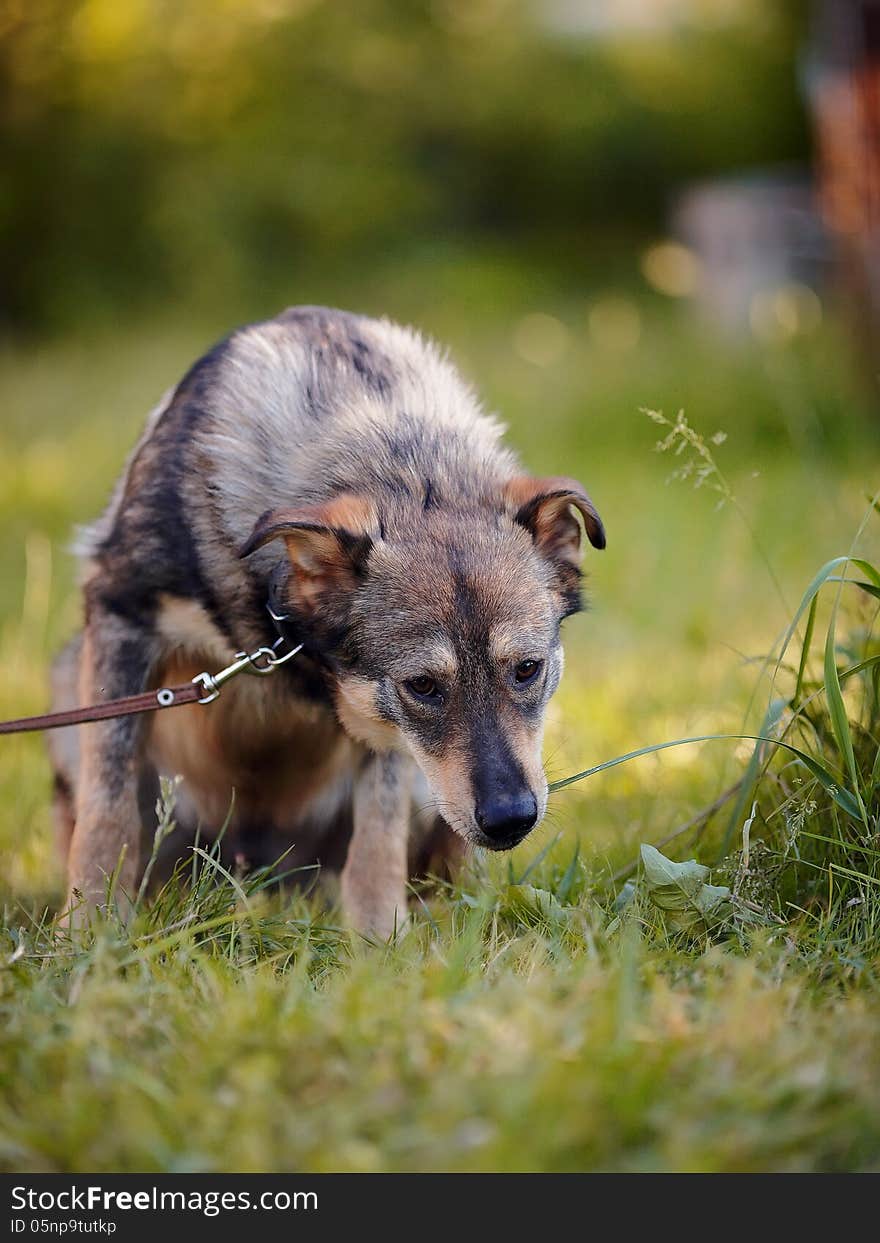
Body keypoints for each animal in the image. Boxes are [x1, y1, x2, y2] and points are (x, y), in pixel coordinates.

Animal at [48, 305, 604, 934]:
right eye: (423, 687)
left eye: (527, 669)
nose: (512, 819)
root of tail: (265, 878)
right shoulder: (121, 619)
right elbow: (108, 808)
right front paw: (89, 930)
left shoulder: (378, 727)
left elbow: (379, 831)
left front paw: (380, 939)